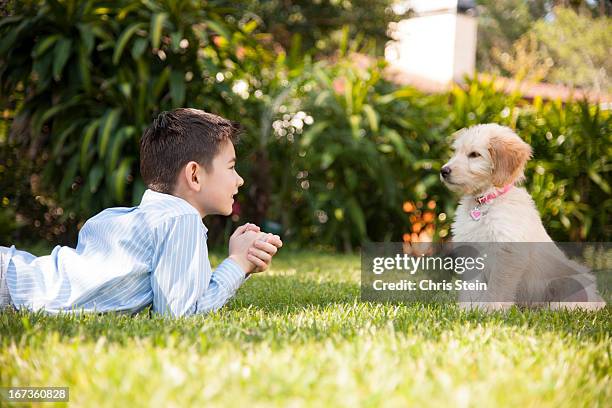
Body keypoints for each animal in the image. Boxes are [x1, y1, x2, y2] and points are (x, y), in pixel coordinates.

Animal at [440, 122, 604, 310]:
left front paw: (491, 310)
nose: (443, 171)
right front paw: (467, 310)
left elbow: (498, 287)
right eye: (456, 152)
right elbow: (471, 288)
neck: (486, 200)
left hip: (574, 278)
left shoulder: (508, 253)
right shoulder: (471, 253)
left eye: (474, 154)